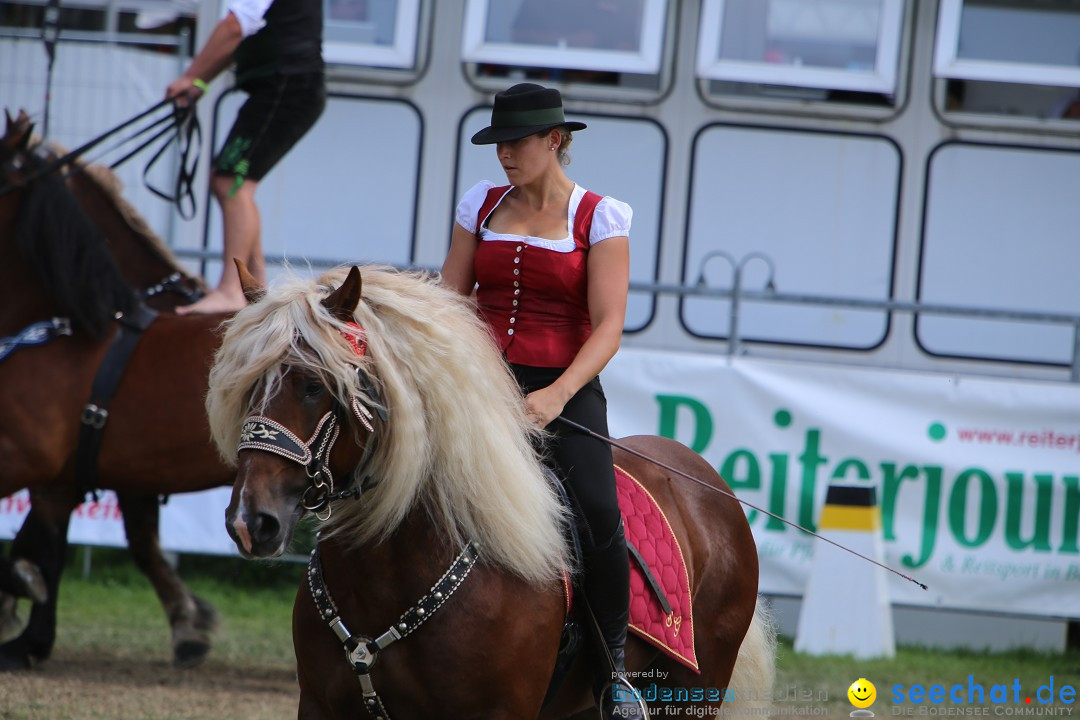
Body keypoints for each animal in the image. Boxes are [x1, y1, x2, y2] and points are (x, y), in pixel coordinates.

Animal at [204, 266, 777, 720]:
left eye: (313, 385)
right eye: (248, 386)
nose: (251, 520)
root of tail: (706, 478)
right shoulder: (322, 707)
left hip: (693, 691)